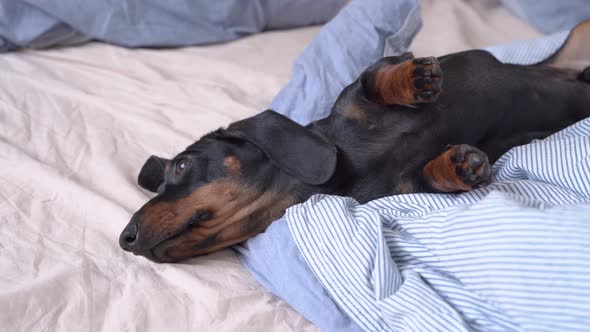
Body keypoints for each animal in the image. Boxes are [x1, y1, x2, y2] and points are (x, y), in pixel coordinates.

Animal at [119, 21, 590, 264]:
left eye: (181, 165)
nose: (126, 238)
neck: (344, 167)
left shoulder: (358, 91)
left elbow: (376, 78)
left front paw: (414, 78)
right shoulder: (401, 187)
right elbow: (431, 177)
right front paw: (459, 165)